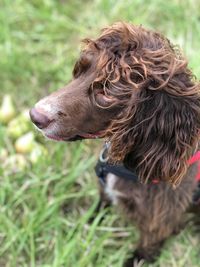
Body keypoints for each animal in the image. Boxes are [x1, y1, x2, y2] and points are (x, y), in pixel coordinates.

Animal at [29, 22, 200, 266]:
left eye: (106, 95)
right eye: (81, 70)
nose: (35, 116)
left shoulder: (158, 222)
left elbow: (146, 248)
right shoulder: (106, 192)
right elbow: (98, 210)